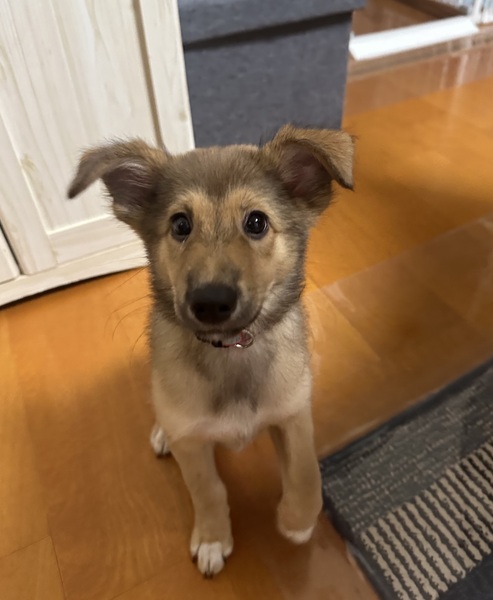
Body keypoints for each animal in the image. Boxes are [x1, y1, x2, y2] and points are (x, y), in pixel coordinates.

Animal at [68, 125, 354, 577]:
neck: (231, 350)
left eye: (256, 222)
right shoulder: (192, 443)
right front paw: (213, 538)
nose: (211, 302)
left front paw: (297, 520)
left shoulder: (293, 413)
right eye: (180, 224)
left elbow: (306, 470)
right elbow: (208, 489)